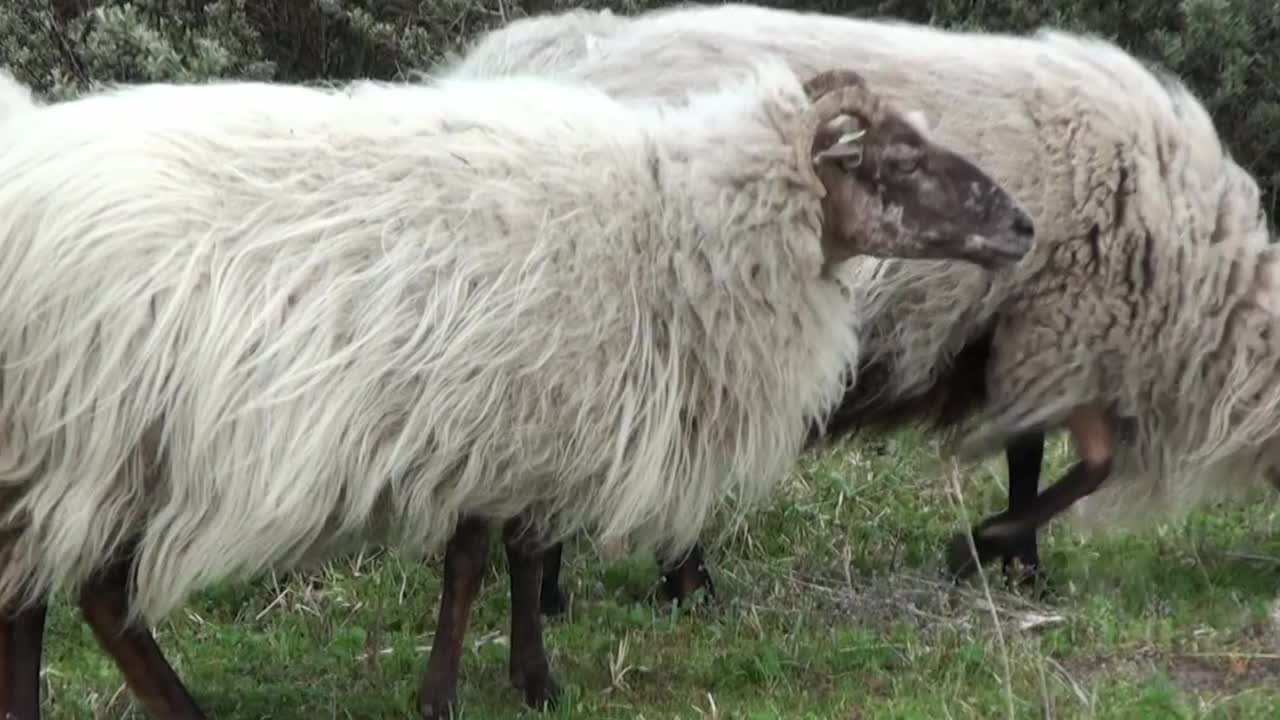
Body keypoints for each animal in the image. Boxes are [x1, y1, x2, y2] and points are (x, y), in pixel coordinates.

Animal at [0, 63, 1029, 717]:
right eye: (899, 162)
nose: (1022, 225)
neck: (670, 224)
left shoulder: (531, 420)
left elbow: (523, 560)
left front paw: (531, 684)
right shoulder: (508, 413)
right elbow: (476, 564)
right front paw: (450, 695)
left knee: (34, 597)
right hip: (106, 434)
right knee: (94, 595)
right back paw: (180, 707)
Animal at [440, 1, 1269, 594]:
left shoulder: (1041, 339)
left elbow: (1039, 454)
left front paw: (1014, 561)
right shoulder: (1060, 328)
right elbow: (1075, 463)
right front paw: (987, 549)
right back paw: (662, 588)